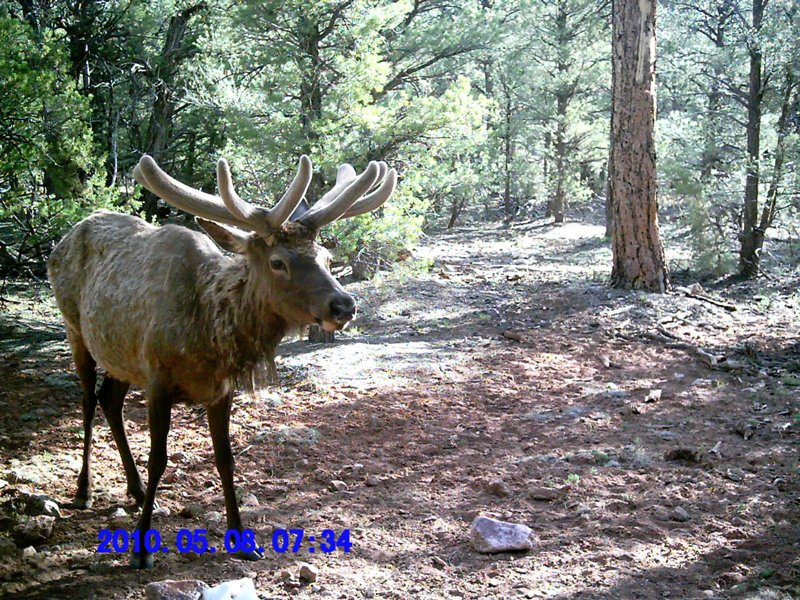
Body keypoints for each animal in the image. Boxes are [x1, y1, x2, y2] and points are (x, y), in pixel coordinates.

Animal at [47, 154, 397, 568]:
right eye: (278, 262)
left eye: (327, 257)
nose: (344, 305)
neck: (210, 337)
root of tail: (62, 241)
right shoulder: (158, 379)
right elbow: (159, 458)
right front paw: (141, 549)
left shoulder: (219, 389)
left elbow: (226, 458)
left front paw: (243, 540)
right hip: (75, 328)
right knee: (87, 401)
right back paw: (84, 490)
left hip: (122, 356)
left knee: (109, 400)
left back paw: (136, 490)